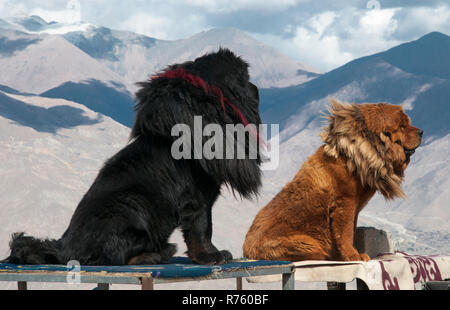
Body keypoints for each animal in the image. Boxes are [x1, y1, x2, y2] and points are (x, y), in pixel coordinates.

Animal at [3, 49, 262, 266]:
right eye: (244, 78)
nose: (256, 87)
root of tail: (63, 248)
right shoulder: (196, 200)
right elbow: (201, 230)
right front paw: (209, 256)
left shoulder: (205, 200)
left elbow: (206, 229)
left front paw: (214, 253)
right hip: (131, 205)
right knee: (112, 257)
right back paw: (156, 254)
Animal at [243, 100, 422, 262]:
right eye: (402, 126)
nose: (421, 131)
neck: (359, 155)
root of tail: (246, 250)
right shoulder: (345, 203)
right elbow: (346, 233)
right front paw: (353, 256)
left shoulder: (354, 208)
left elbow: (350, 231)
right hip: (306, 244)